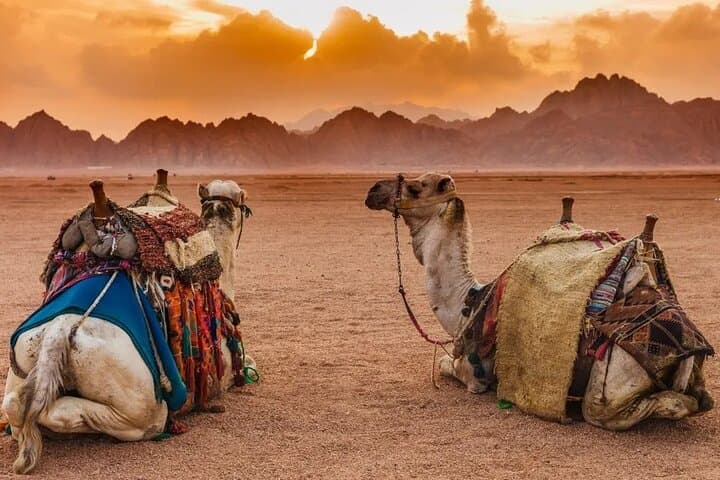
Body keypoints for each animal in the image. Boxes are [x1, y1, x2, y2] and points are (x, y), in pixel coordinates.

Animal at [2, 174, 253, 474]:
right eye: (243, 203)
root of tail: (58, 332)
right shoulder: (223, 373)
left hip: (23, 358)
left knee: (14, 404)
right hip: (137, 398)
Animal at [365, 172, 713, 431]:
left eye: (415, 186)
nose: (373, 190)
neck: (469, 302)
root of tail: (690, 348)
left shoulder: (476, 374)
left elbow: (445, 365)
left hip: (611, 383)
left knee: (623, 408)